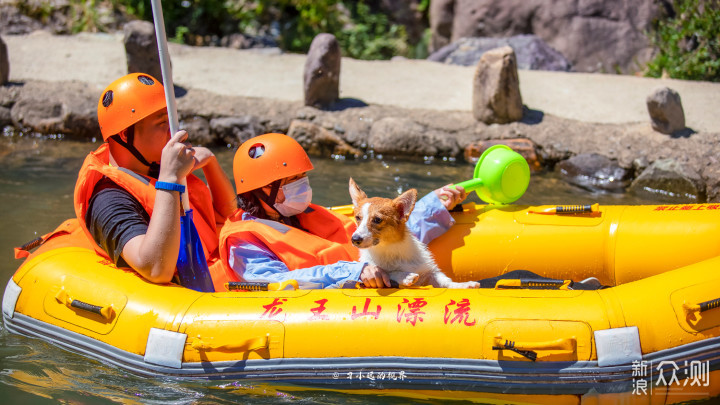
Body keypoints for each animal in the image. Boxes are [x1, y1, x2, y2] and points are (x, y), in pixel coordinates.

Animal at [348, 178, 478, 288]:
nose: (355, 239)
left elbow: (445, 281)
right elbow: (389, 272)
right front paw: (405, 276)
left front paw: (464, 285)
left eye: (377, 220)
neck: (390, 248)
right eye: (357, 217)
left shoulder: (429, 272)